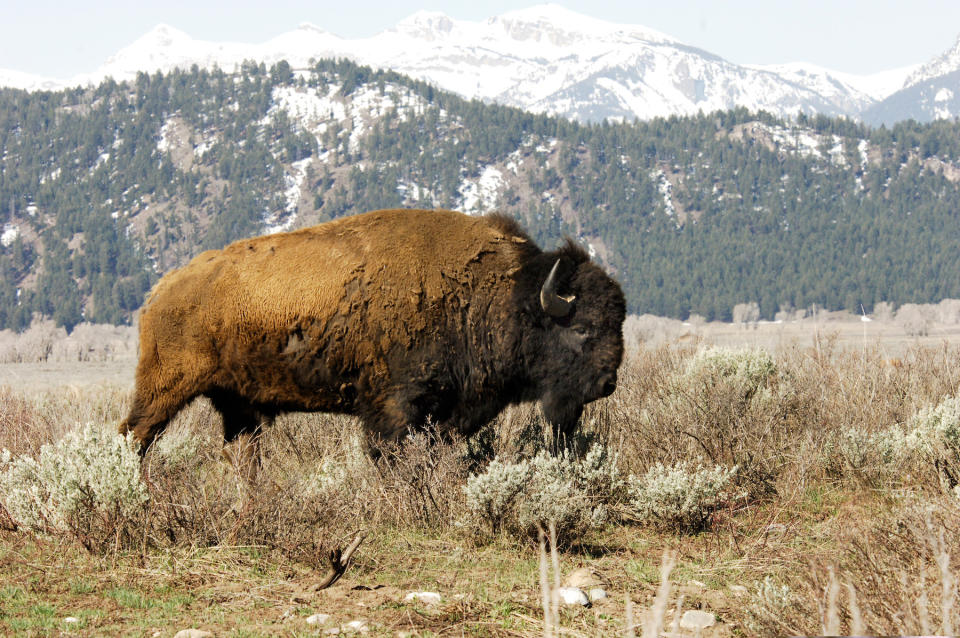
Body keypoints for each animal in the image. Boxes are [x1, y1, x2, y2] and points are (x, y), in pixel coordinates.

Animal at [120, 210, 628, 464]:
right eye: (582, 328)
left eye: (618, 323)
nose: (607, 384)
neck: (497, 293)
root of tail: (161, 291)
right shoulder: (394, 408)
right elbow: (389, 455)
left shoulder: (448, 412)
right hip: (164, 387)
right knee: (135, 436)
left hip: (240, 405)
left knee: (244, 455)